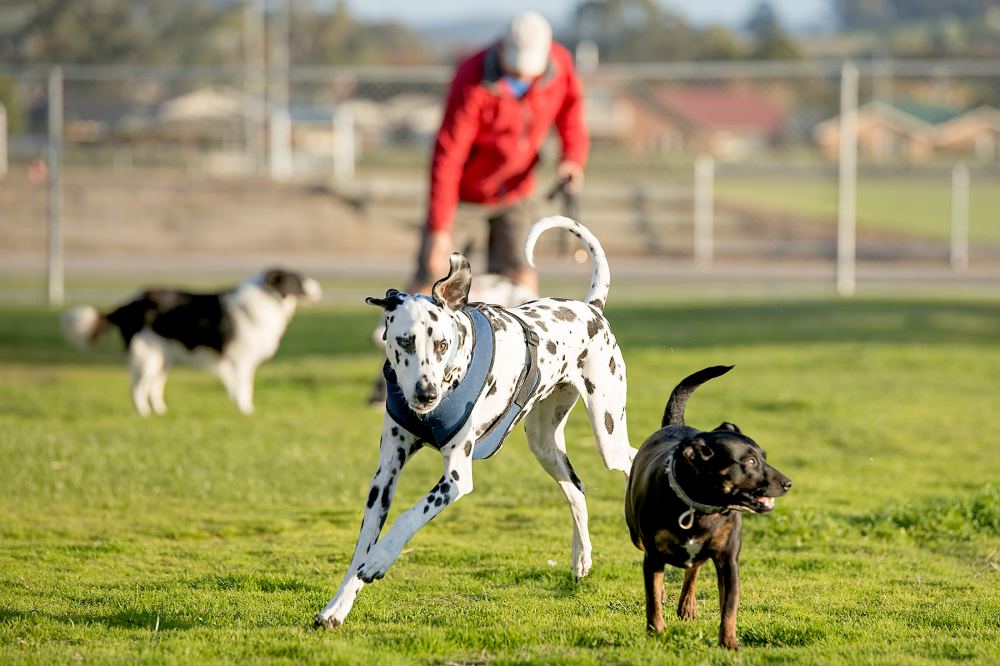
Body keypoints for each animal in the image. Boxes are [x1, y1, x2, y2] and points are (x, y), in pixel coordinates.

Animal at [58, 268, 322, 412]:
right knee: (137, 388)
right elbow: (245, 387)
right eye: (299, 279)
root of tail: (128, 304)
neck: (266, 300)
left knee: (153, 387)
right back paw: (143, 413)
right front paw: (246, 410)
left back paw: (159, 411)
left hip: (162, 358)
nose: (319, 289)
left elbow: (238, 387)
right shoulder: (241, 358)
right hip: (149, 356)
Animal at [316, 217, 636, 628]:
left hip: (608, 435)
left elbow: (405, 519)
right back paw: (582, 559)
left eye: (441, 344)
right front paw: (337, 606)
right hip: (544, 445)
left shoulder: (455, 479)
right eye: (404, 341)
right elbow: (360, 549)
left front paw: (380, 559)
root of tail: (590, 307)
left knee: (631, 457)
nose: (426, 394)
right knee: (576, 489)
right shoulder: (383, 479)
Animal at [624, 364, 788, 648]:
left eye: (764, 458)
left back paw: (687, 606)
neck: (700, 507)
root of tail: (675, 424)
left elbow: (729, 607)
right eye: (750, 461)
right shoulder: (653, 554)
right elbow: (652, 598)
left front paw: (729, 643)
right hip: (637, 536)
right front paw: (656, 631)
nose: (787, 483)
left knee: (694, 568)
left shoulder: (728, 561)